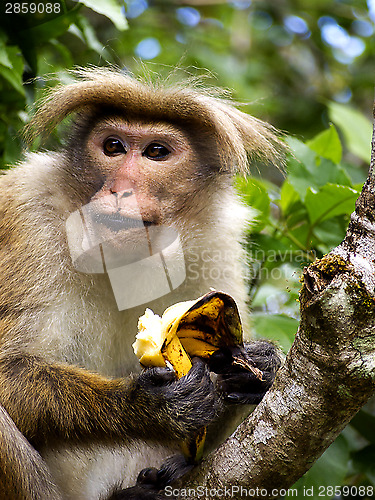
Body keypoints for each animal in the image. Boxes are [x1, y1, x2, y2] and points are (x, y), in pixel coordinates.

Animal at [0, 67, 284, 500]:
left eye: (156, 153)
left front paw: (259, 366)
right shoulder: (29, 212)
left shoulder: (218, 240)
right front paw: (149, 405)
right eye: (113, 147)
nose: (122, 189)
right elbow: (6, 368)